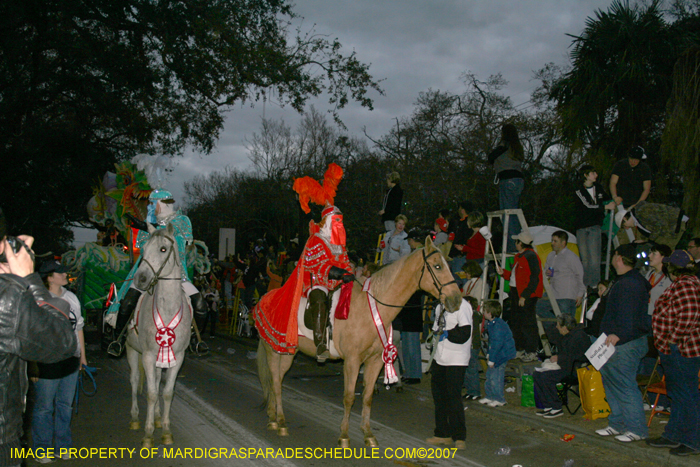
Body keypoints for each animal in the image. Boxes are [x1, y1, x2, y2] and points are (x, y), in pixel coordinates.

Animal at [123, 225, 189, 448]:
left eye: (163, 249)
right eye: (143, 250)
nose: (140, 279)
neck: (167, 310)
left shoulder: (178, 357)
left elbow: (167, 392)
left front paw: (166, 430)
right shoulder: (148, 355)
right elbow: (151, 393)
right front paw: (148, 433)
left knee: (158, 379)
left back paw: (159, 417)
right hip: (132, 350)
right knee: (134, 380)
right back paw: (135, 418)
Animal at [254, 239, 462, 448]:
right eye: (437, 266)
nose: (457, 300)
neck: (371, 309)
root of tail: (264, 297)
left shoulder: (375, 361)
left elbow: (368, 397)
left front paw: (368, 434)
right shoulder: (352, 361)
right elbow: (348, 397)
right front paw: (344, 436)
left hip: (287, 353)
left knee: (276, 380)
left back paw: (273, 417)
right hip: (274, 351)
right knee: (275, 382)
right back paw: (280, 423)